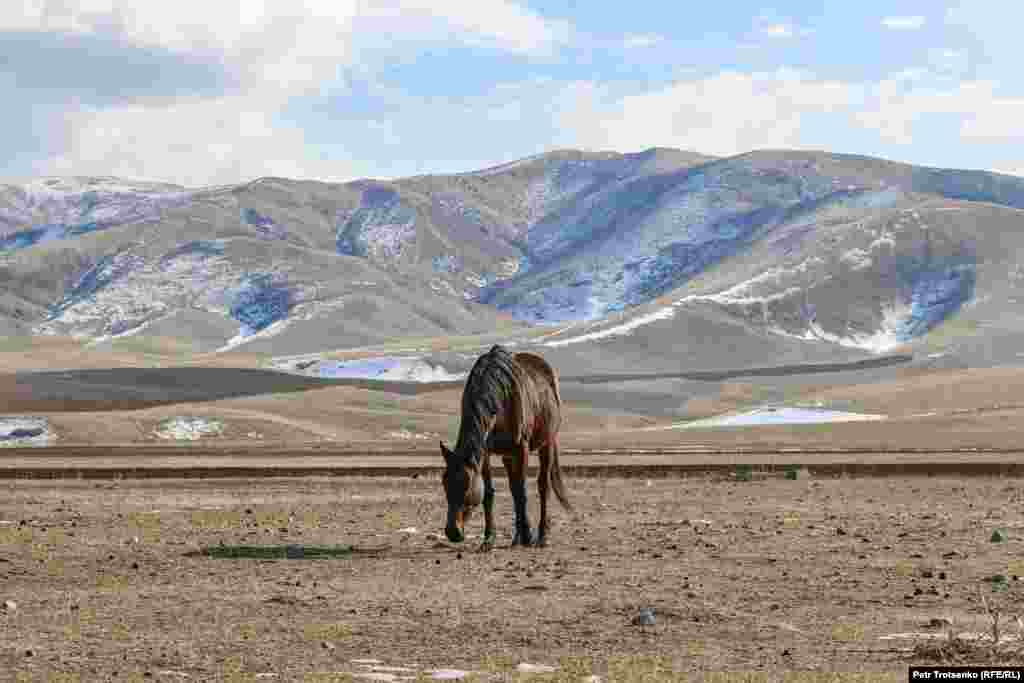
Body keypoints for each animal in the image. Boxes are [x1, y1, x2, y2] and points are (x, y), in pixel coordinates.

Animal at [438, 344, 573, 548]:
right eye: (445, 484)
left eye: (467, 486)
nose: (453, 532)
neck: (499, 402)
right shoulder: (485, 453)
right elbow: (490, 493)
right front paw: (489, 538)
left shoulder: (521, 449)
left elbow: (522, 492)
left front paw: (528, 537)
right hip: (507, 455)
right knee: (513, 488)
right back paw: (517, 538)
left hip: (546, 443)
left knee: (542, 485)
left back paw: (541, 536)